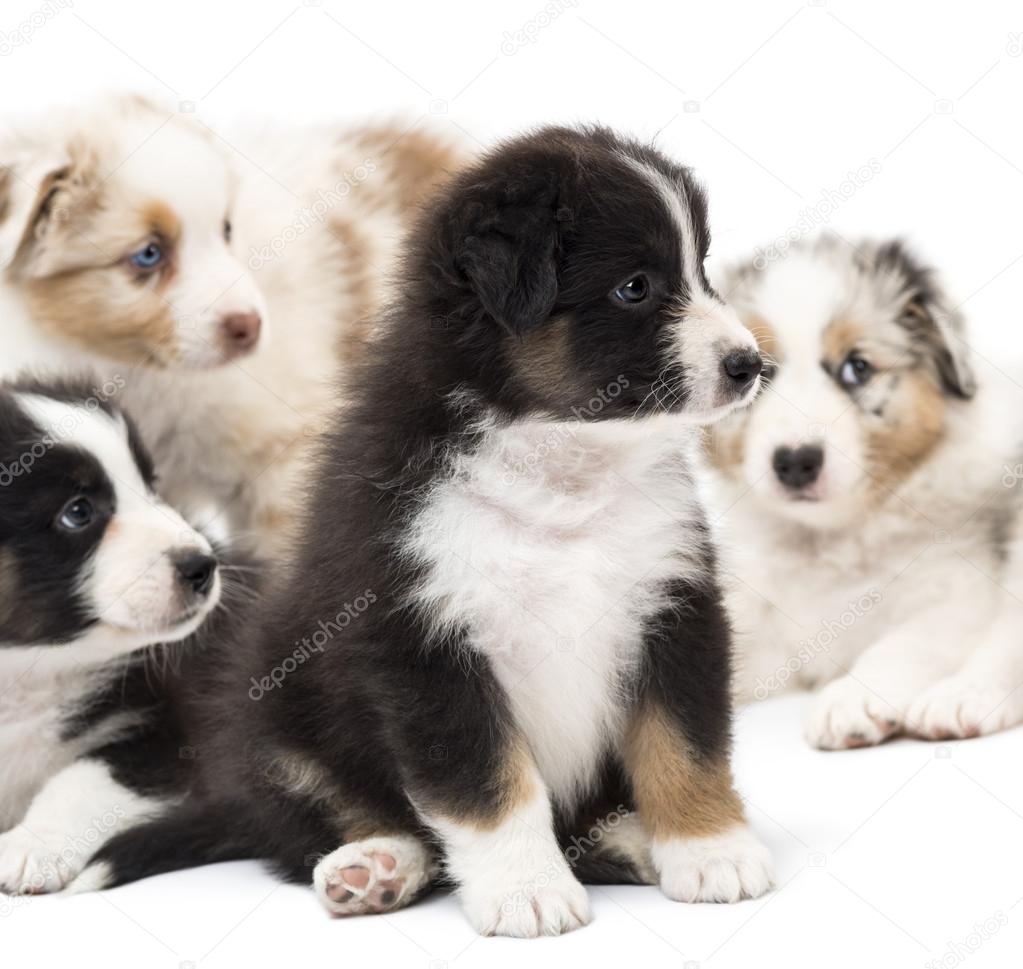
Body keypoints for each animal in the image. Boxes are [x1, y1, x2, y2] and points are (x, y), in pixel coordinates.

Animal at [0, 376, 232, 892]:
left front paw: (29, 846)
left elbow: (85, 776)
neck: (24, 674)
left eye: (151, 486)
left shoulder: (167, 730)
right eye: (78, 512)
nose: (202, 566)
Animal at [707, 236, 1023, 749]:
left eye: (857, 369)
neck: (833, 540)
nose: (795, 461)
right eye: (760, 374)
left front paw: (851, 701)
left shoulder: (957, 597)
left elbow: (903, 646)